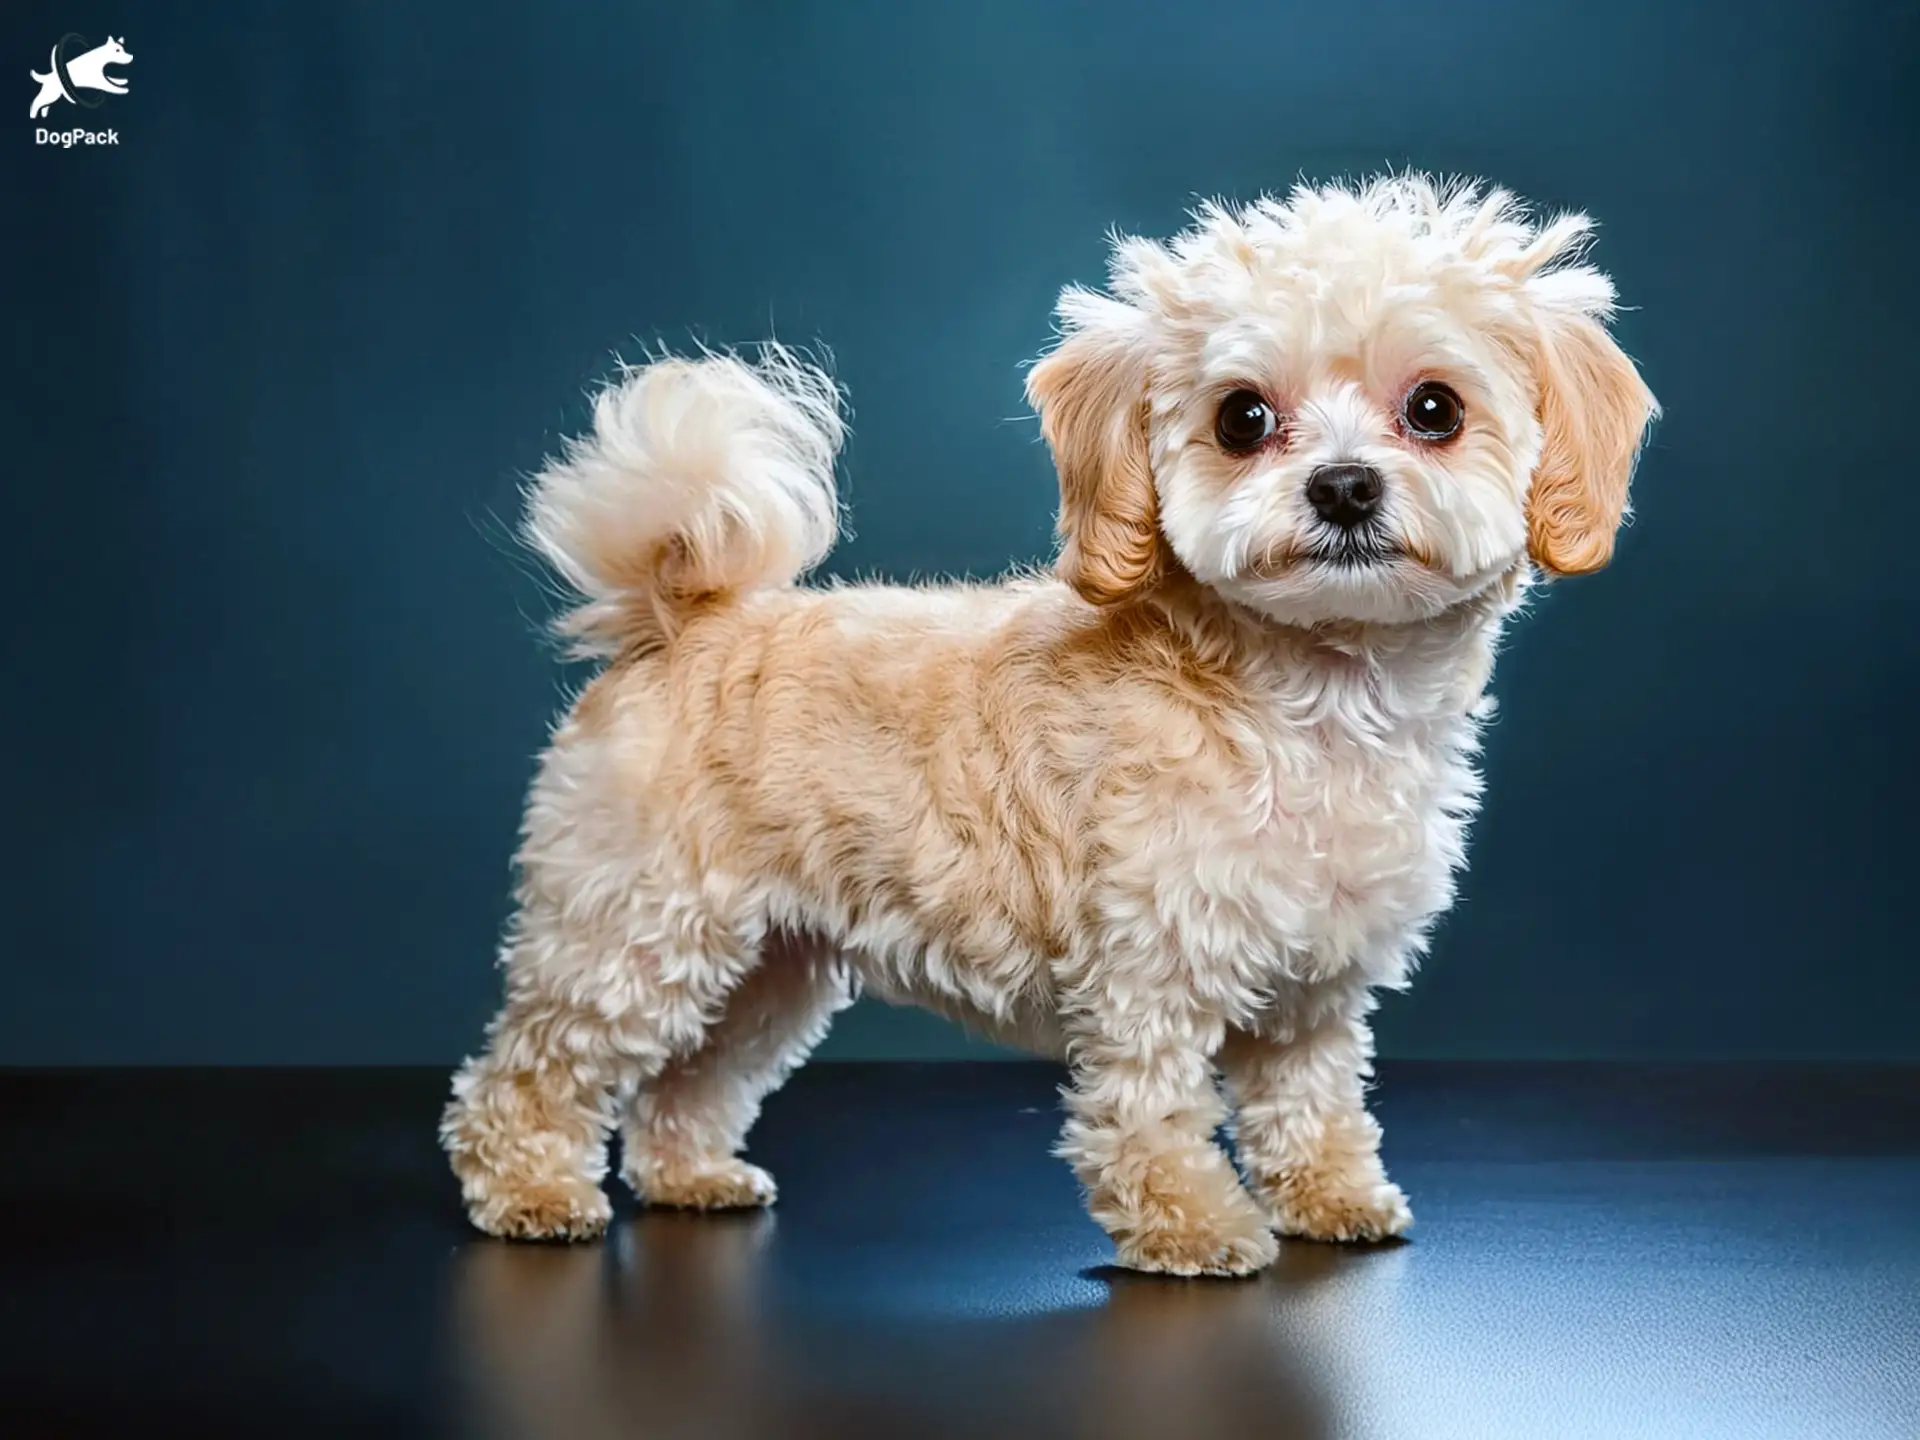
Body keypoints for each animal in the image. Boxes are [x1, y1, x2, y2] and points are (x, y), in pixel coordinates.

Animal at [435, 174, 1651, 1282]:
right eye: (1244, 419)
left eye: (1435, 409)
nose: (1345, 487)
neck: (1306, 703)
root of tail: (680, 615)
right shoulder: (1151, 973)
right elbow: (1152, 1114)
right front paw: (1193, 1230)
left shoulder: (1313, 991)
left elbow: (1314, 1105)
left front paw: (1335, 1199)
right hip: (633, 934)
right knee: (529, 1073)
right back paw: (530, 1192)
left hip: (772, 962)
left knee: (692, 1079)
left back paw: (690, 1177)